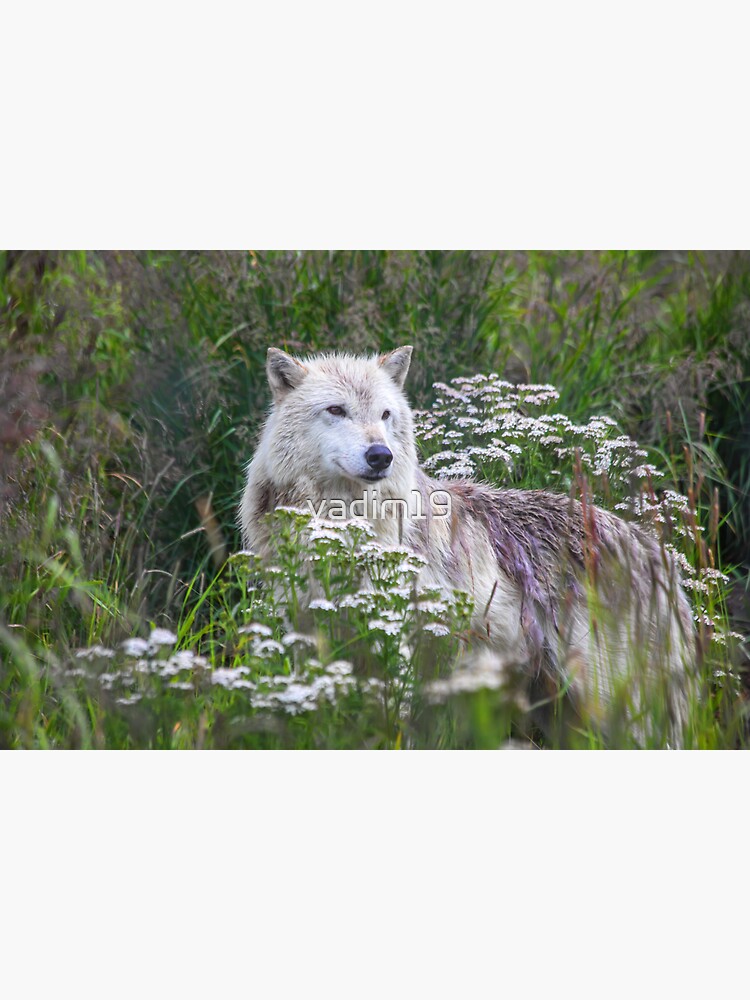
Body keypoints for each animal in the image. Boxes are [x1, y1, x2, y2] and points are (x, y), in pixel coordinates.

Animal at [241, 344, 700, 744]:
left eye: (385, 414)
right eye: (336, 410)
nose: (381, 456)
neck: (339, 523)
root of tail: (658, 555)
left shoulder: (394, 638)